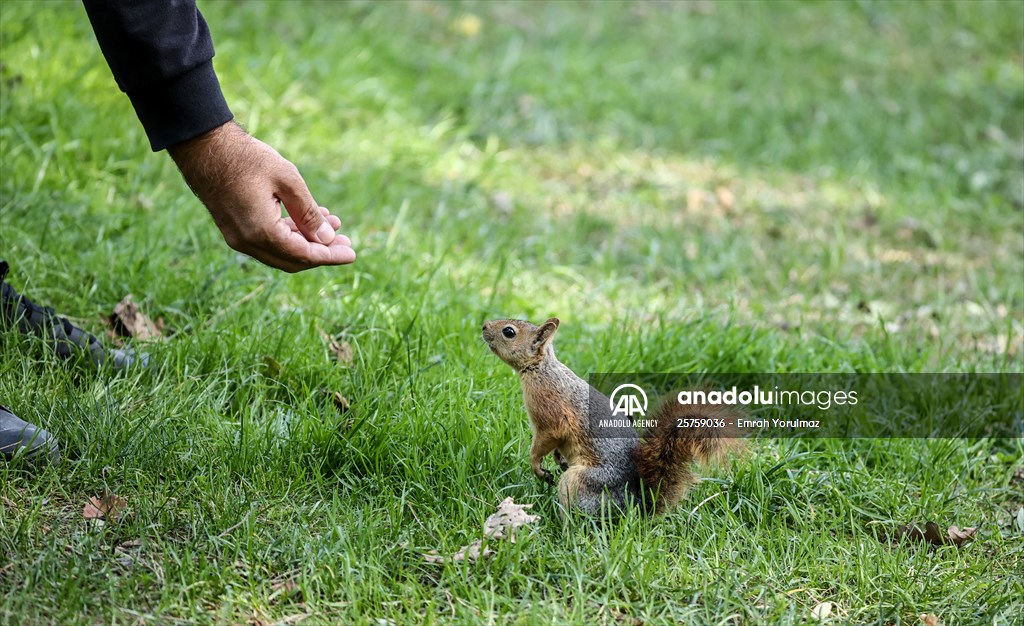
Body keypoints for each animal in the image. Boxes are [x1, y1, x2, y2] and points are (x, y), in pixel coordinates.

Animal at [483, 317, 742, 517]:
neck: (541, 369)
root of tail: (636, 507)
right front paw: (557, 458)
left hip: (582, 481)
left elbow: (545, 440)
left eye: (509, 332)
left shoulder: (550, 411)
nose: (484, 326)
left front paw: (536, 466)